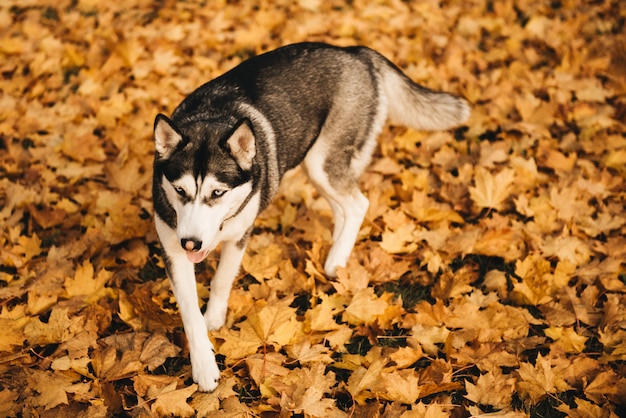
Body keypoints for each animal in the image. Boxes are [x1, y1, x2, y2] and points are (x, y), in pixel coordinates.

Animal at [151, 40, 468, 390]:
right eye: (179, 191)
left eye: (217, 193)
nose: (191, 243)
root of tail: (354, 51)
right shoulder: (172, 249)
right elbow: (190, 313)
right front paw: (203, 364)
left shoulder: (239, 236)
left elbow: (221, 281)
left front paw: (214, 319)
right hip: (315, 166)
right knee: (343, 207)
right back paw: (337, 247)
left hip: (322, 162)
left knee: (357, 204)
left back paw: (336, 259)